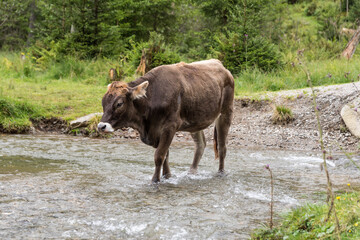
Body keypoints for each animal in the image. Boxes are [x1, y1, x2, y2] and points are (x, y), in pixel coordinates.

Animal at [98, 59, 233, 183]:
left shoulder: (170, 127)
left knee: (222, 147)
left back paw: (221, 173)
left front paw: (155, 181)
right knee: (200, 145)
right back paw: (191, 173)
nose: (101, 126)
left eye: (119, 104)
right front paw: (167, 176)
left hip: (226, 112)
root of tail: (219, 63)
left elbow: (159, 156)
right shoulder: (156, 131)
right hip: (195, 121)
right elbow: (165, 156)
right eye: (103, 102)